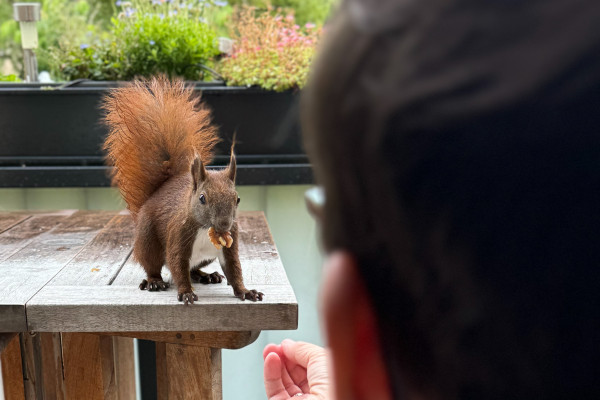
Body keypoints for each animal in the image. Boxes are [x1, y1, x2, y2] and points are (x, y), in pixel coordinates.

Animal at [102, 76, 264, 304]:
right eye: (202, 198)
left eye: (238, 199)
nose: (224, 224)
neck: (205, 229)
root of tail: (157, 192)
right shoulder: (178, 236)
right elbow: (177, 265)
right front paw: (186, 292)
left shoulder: (230, 243)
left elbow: (234, 270)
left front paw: (246, 291)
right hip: (148, 241)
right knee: (153, 266)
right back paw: (154, 281)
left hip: (205, 258)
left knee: (194, 269)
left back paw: (206, 275)